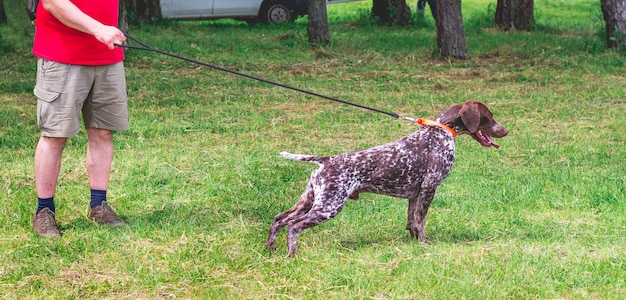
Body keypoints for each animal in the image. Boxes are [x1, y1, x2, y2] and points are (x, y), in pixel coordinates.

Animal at [264, 100, 508, 255]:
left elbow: (412, 221)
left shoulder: (414, 194)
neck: (440, 131)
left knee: (279, 219)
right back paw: (292, 255)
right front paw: (424, 243)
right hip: (328, 206)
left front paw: (414, 241)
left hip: (309, 200)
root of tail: (325, 160)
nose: (505, 131)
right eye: (488, 117)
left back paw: (270, 249)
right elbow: (421, 221)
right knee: (293, 226)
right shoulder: (430, 188)